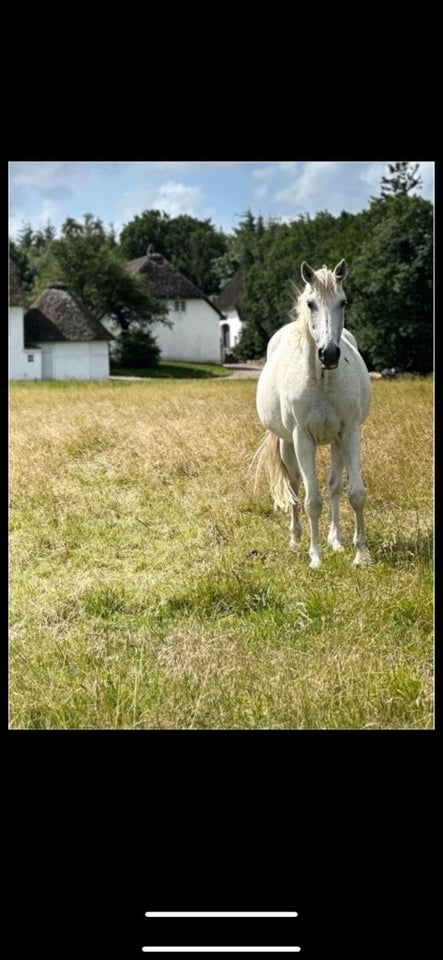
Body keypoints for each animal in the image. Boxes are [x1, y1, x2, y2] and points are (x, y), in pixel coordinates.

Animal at [255, 258, 372, 568]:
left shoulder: (349, 432)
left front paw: (361, 554)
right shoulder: (302, 439)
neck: (322, 381)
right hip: (287, 443)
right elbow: (311, 501)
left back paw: (336, 540)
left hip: (335, 442)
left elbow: (354, 494)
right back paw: (296, 539)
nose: (329, 354)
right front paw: (316, 557)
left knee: (333, 486)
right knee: (295, 486)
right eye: (310, 303)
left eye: (343, 302)